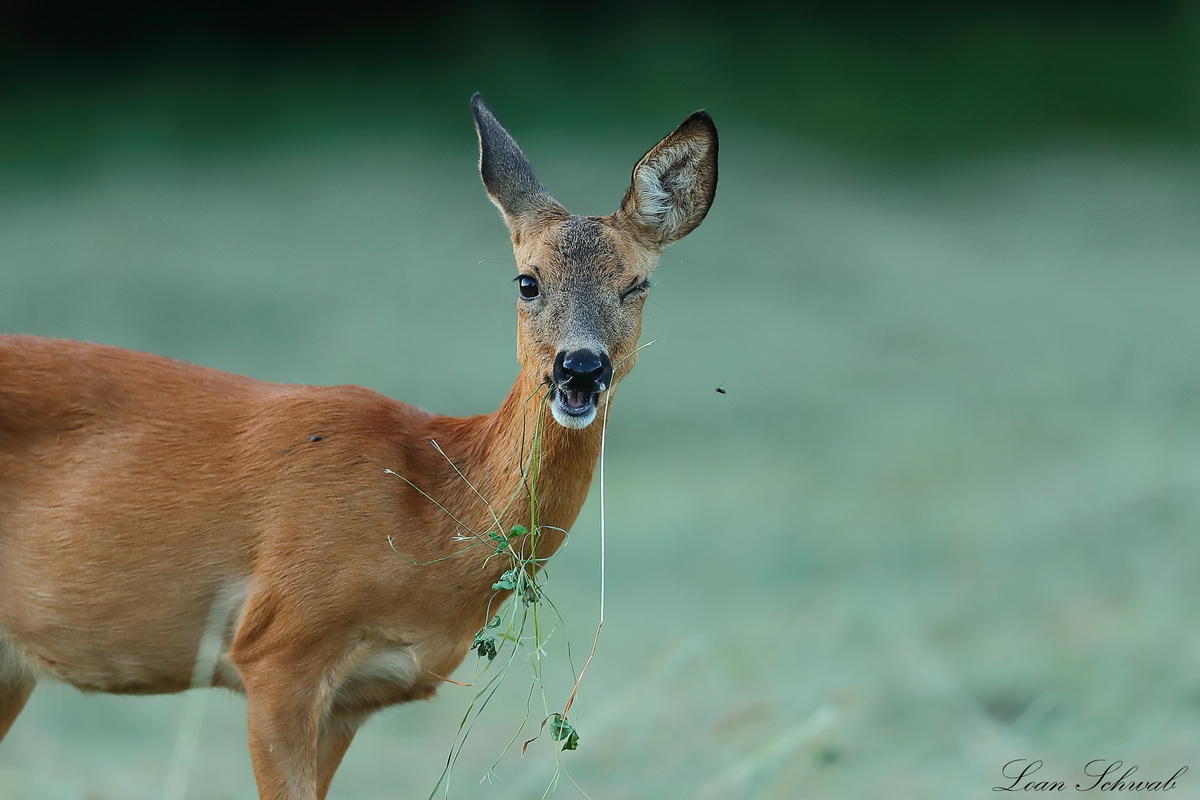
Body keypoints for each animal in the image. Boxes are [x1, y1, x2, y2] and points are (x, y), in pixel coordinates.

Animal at [0, 90, 715, 796]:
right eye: (527, 280)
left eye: (637, 285)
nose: (580, 369)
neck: (426, 511)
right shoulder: (277, 648)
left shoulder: (357, 696)